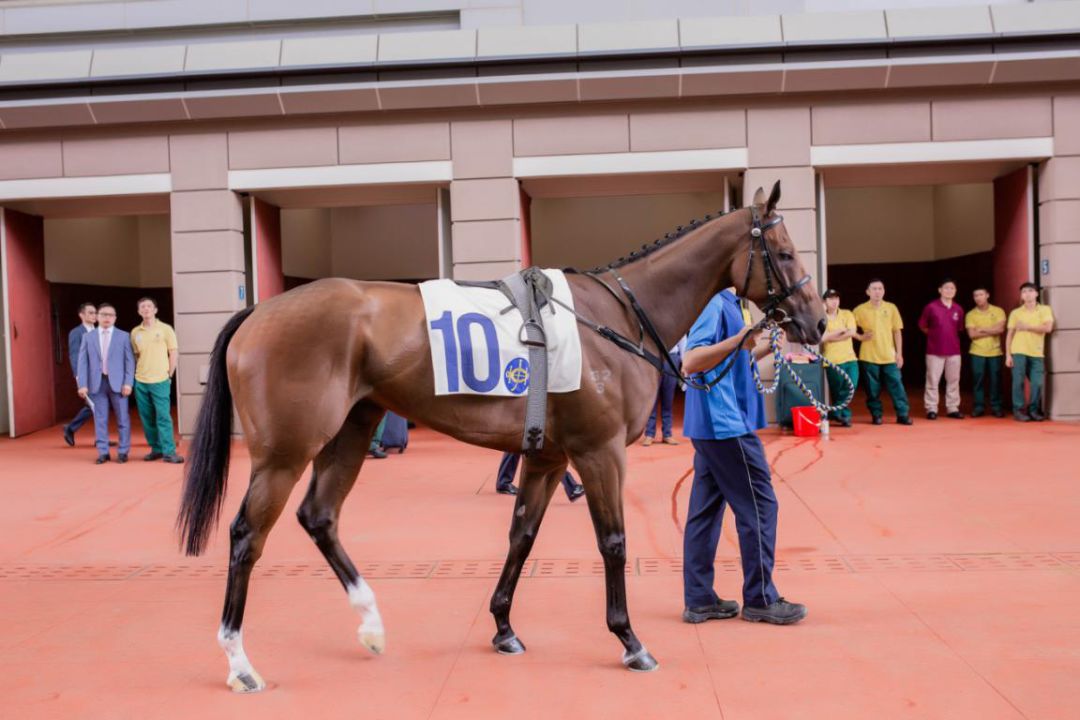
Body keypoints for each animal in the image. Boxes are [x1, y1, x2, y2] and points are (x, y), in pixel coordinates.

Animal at [177, 181, 820, 690]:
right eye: (785, 252)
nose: (815, 322)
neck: (617, 320)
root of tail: (259, 311)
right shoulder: (599, 451)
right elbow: (612, 541)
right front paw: (630, 640)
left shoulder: (548, 456)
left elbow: (522, 537)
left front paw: (504, 627)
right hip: (285, 452)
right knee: (246, 536)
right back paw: (240, 662)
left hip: (350, 431)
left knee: (320, 516)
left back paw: (372, 624)